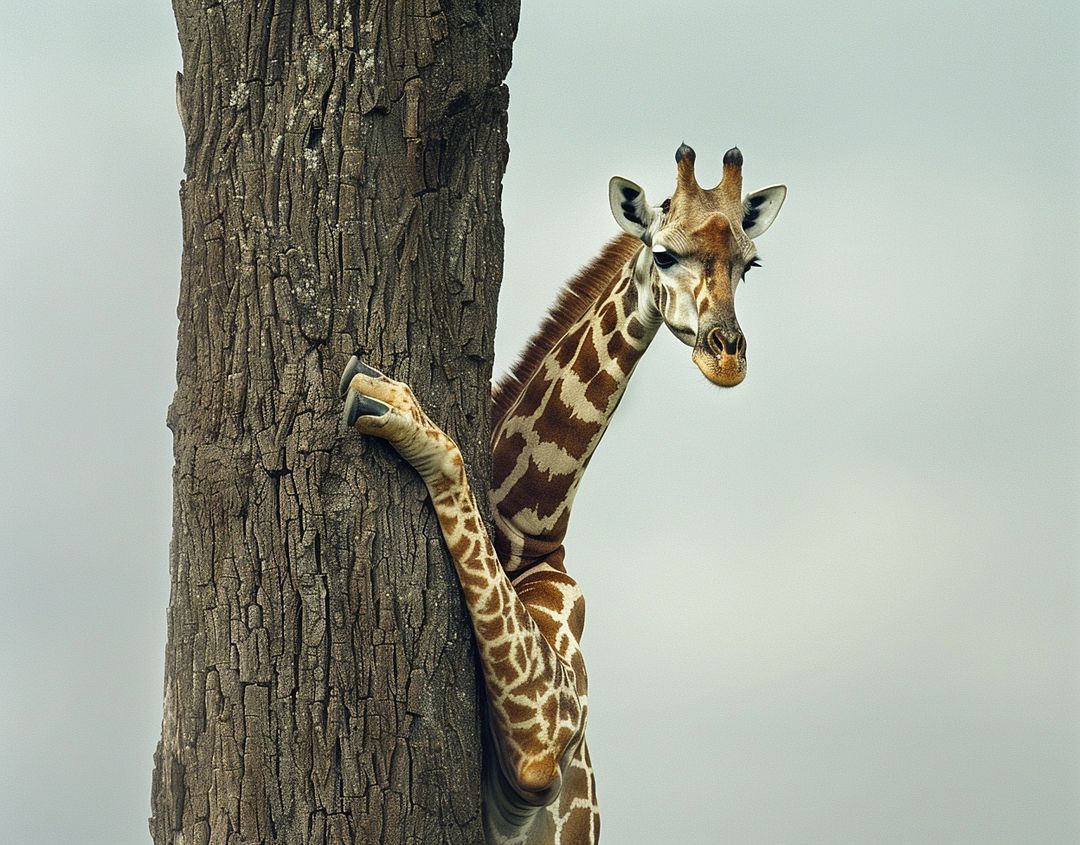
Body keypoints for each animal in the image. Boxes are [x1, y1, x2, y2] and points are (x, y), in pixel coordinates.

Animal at [339, 142, 786, 842]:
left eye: (750, 264)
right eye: (664, 253)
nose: (727, 357)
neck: (531, 527)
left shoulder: (544, 738)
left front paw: (399, 409)